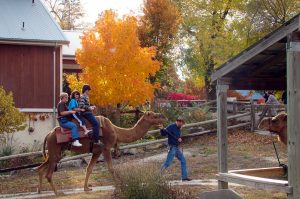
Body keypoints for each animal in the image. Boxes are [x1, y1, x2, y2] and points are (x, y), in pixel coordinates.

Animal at [37, 111, 166, 195]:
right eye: (154, 116)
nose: (163, 117)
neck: (116, 131)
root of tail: (48, 134)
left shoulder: (97, 151)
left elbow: (89, 168)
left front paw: (86, 188)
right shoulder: (106, 148)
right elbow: (111, 168)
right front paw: (119, 186)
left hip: (55, 153)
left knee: (40, 168)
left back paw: (40, 191)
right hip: (54, 150)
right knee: (49, 173)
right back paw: (58, 193)